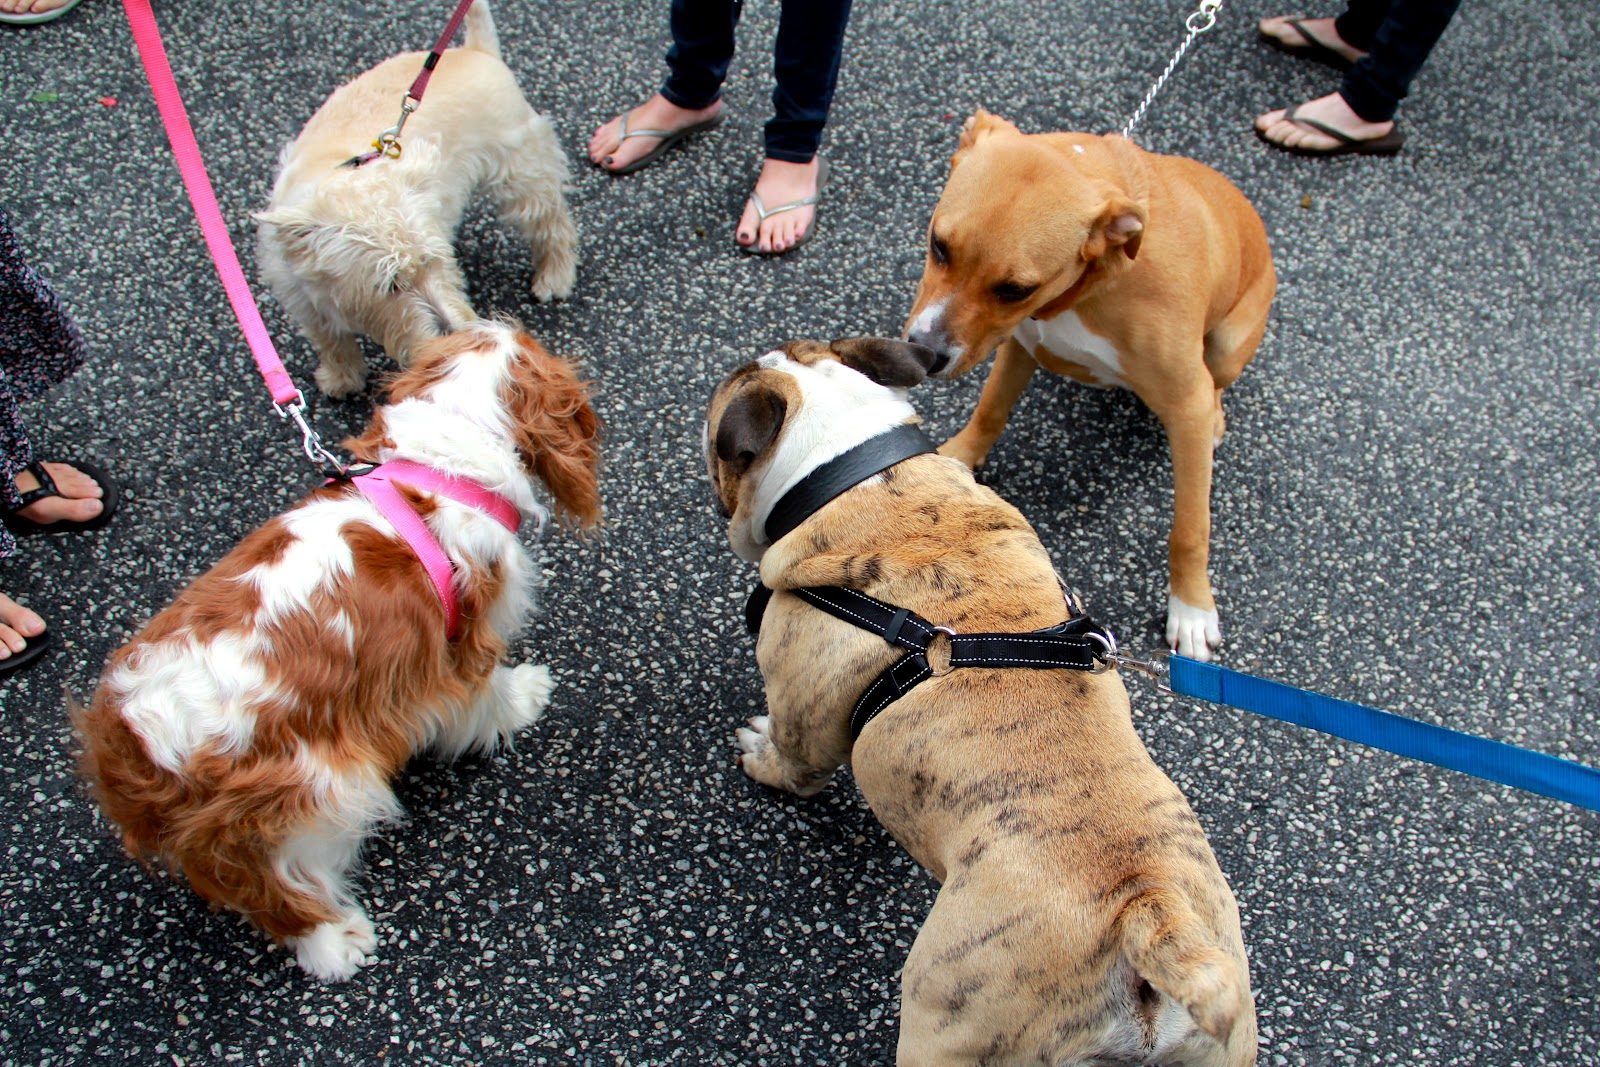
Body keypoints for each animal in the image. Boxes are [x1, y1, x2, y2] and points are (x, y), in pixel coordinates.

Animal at [74, 321, 602, 981]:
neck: (438, 459)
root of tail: (129, 735)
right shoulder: (459, 647)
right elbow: (487, 694)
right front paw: (523, 698)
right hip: (315, 784)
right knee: (273, 884)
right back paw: (332, 942)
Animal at [256, 0, 578, 398]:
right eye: (390, 284)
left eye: (432, 262)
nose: (456, 334)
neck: (340, 175)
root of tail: (475, 49)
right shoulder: (301, 296)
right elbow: (330, 339)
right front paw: (342, 378)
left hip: (520, 168)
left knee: (550, 220)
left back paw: (555, 275)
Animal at [706, 337, 1256, 1066]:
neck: (855, 471)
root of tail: (1148, 913)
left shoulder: (802, 714)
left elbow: (792, 763)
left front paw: (758, 750)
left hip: (947, 1015)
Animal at [903, 110, 1276, 661]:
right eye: (939, 246)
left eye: (1015, 289)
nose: (923, 354)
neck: (1092, 285)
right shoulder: (1020, 345)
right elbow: (990, 409)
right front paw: (954, 461)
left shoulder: (1185, 400)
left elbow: (1190, 527)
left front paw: (1191, 609)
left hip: (1228, 345)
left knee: (1218, 386)